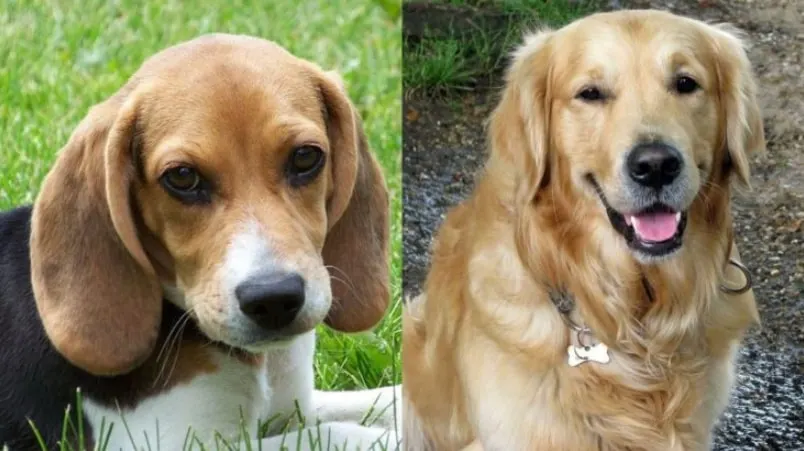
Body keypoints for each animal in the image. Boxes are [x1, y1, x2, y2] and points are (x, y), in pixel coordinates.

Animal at [0, 33, 400, 450]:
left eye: (306, 157)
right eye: (182, 177)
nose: (274, 299)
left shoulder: (294, 407)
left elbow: (376, 401)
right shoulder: (175, 440)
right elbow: (335, 433)